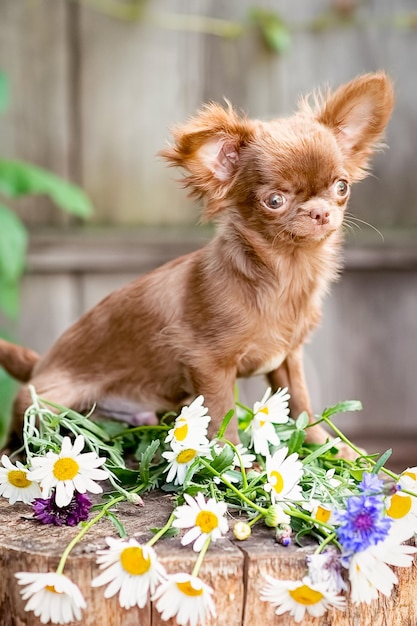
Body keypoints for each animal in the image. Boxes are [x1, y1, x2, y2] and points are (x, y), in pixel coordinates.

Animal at [0, 72, 392, 448]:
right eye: (275, 201)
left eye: (341, 187)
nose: (320, 212)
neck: (284, 272)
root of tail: (39, 367)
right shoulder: (209, 364)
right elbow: (223, 414)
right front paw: (233, 457)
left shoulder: (288, 358)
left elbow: (301, 406)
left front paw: (326, 445)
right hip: (46, 404)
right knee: (22, 435)